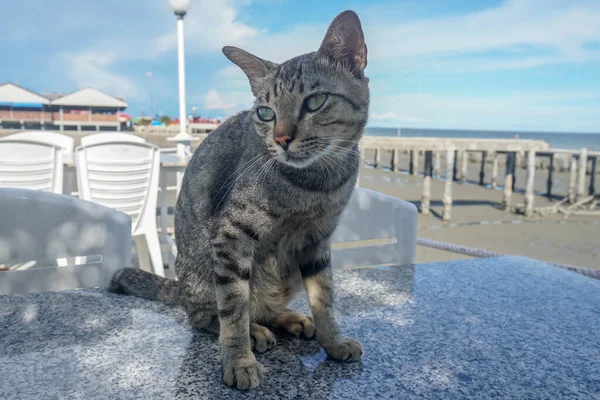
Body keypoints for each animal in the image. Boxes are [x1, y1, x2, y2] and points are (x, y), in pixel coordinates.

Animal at [109, 9, 368, 390]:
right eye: (265, 113)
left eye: (314, 102)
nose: (281, 139)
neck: (316, 183)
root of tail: (180, 288)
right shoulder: (232, 235)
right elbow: (232, 309)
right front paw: (238, 361)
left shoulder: (318, 239)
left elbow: (324, 297)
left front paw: (332, 341)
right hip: (203, 274)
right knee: (208, 316)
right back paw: (254, 332)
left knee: (263, 307)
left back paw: (288, 318)